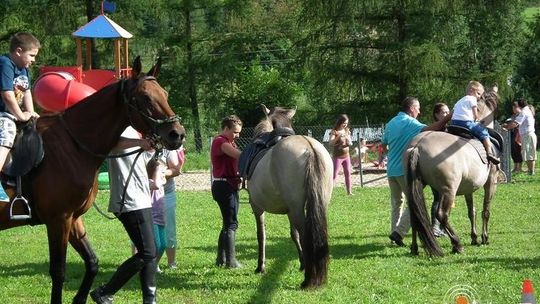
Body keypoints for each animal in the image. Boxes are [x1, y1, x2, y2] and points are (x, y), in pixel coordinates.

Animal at [0, 57, 185, 304]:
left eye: (164, 93)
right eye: (146, 97)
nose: (177, 134)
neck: (72, 146)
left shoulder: (73, 218)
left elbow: (92, 262)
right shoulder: (58, 219)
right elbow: (58, 272)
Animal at [246, 105, 334, 288]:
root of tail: (309, 148)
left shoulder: (256, 206)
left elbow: (261, 234)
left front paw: (260, 266)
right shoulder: (289, 210)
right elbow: (294, 235)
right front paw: (302, 263)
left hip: (297, 209)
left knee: (307, 235)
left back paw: (308, 279)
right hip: (316, 204)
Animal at [404, 89, 502, 256]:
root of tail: (417, 146)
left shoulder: (469, 187)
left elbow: (471, 211)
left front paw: (474, 237)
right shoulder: (491, 182)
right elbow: (485, 210)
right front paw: (484, 237)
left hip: (417, 187)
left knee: (414, 215)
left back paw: (415, 247)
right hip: (449, 191)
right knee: (442, 215)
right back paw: (456, 243)